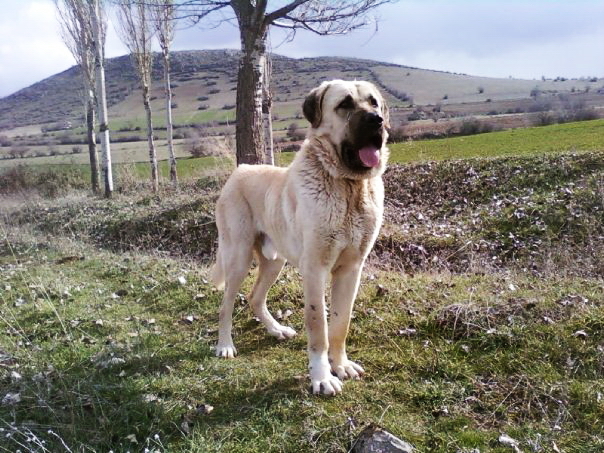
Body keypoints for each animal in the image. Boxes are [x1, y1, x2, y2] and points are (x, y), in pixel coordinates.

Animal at [212, 79, 390, 394]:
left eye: (374, 102)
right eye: (345, 104)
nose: (377, 120)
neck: (348, 186)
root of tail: (240, 169)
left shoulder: (351, 270)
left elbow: (340, 324)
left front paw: (340, 365)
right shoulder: (315, 269)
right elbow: (318, 326)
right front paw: (321, 377)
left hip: (274, 261)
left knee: (255, 297)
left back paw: (276, 329)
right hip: (238, 257)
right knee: (226, 305)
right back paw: (225, 345)